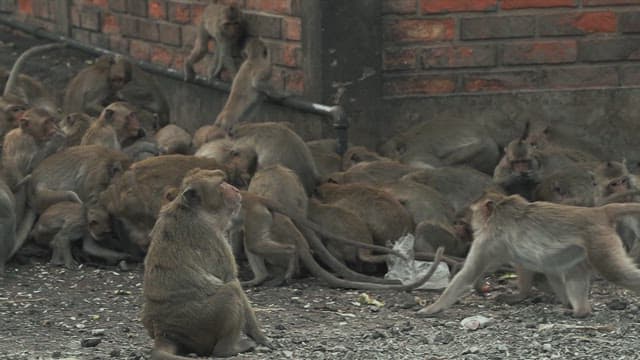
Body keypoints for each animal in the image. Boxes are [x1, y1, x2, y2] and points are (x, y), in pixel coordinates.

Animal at [141, 168, 268, 358]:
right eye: (221, 183)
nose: (235, 190)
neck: (194, 210)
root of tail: (165, 331)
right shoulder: (214, 238)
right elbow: (232, 279)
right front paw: (259, 335)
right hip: (202, 321)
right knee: (230, 291)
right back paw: (229, 349)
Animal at [418, 191, 640, 318]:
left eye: (472, 213)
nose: (466, 223)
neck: (500, 213)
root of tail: (599, 212)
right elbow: (531, 265)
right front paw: (521, 295)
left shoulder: (488, 240)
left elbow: (468, 273)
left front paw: (433, 308)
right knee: (572, 271)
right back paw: (579, 311)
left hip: (599, 243)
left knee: (616, 272)